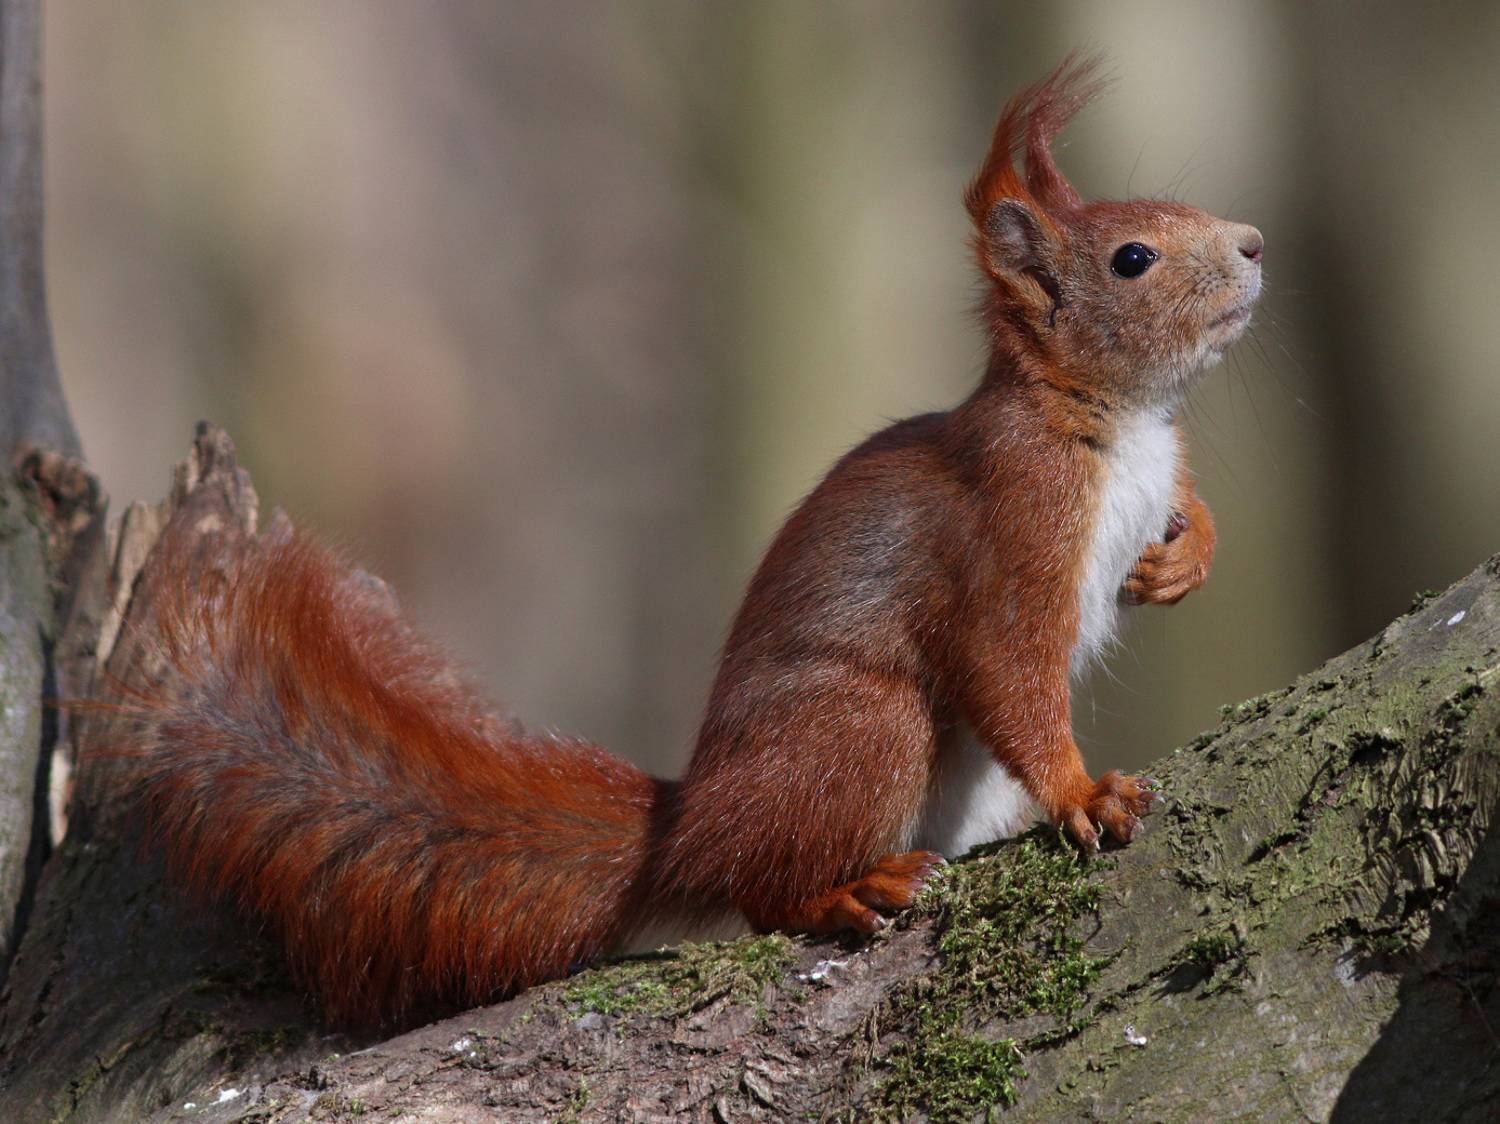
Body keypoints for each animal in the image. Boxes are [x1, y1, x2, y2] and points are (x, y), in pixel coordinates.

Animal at [106, 56, 1263, 1028]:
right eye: (1132, 258)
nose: (1255, 243)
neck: (1119, 419)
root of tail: (691, 823)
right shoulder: (1010, 526)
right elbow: (1011, 667)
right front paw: (1080, 793)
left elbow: (1187, 512)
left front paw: (1184, 557)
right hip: (862, 728)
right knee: (761, 892)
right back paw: (850, 888)